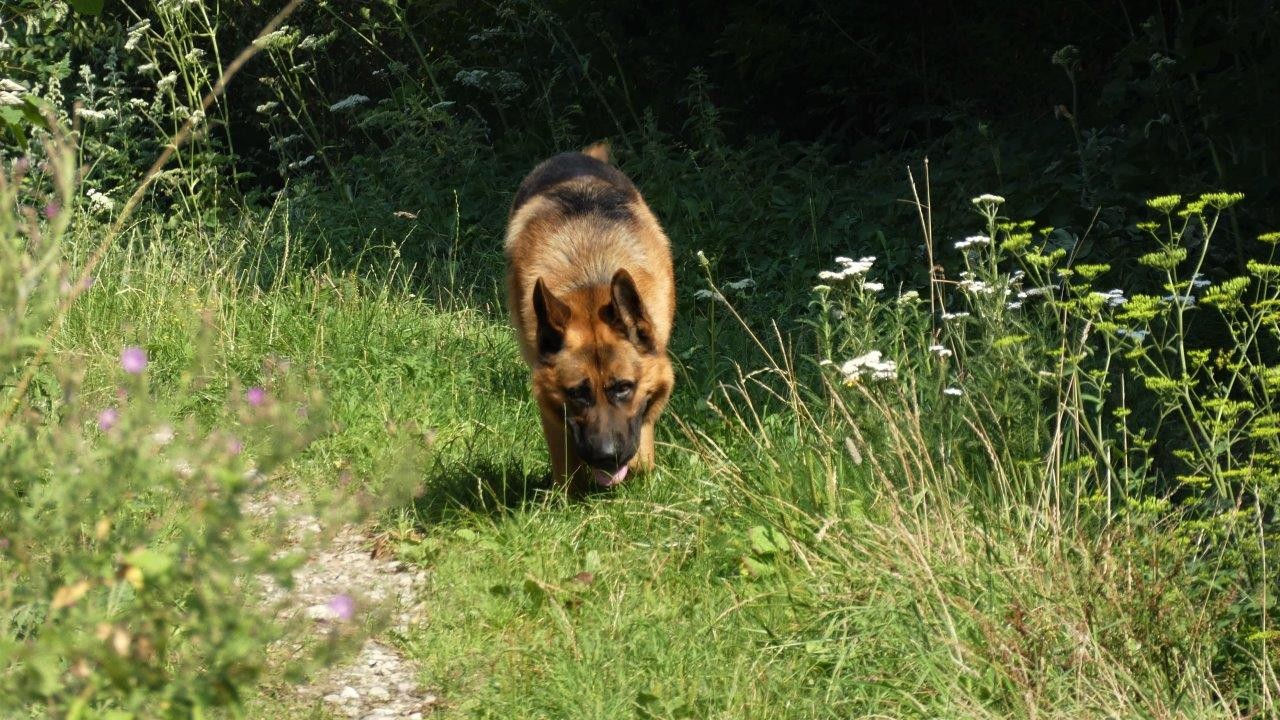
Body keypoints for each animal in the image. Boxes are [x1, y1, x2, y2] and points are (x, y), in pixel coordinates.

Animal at [504, 141, 675, 486]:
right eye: (577, 394)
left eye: (623, 387)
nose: (608, 458)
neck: (592, 283)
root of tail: (575, 155)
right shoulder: (550, 405)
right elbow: (566, 467)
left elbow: (642, 449)